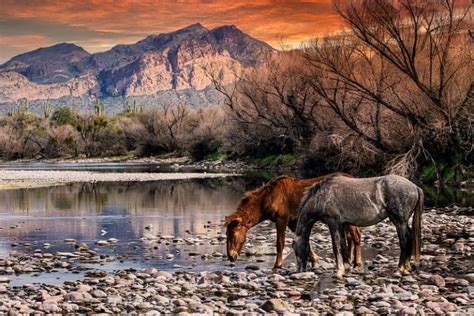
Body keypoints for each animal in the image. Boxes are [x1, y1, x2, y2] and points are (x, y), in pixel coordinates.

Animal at [226, 173, 362, 270]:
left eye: (233, 235)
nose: (231, 257)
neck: (267, 199)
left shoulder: (281, 219)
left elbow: (280, 243)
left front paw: (277, 265)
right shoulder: (293, 223)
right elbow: (304, 242)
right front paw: (314, 260)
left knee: (355, 236)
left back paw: (357, 263)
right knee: (350, 237)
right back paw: (349, 260)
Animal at [292, 174, 422, 278]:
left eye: (295, 249)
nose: (300, 271)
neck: (322, 196)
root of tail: (415, 187)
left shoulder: (333, 222)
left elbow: (336, 246)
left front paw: (339, 271)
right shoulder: (342, 224)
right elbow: (343, 245)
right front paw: (347, 267)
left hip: (400, 222)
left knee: (404, 242)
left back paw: (400, 269)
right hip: (403, 222)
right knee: (410, 238)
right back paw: (407, 267)